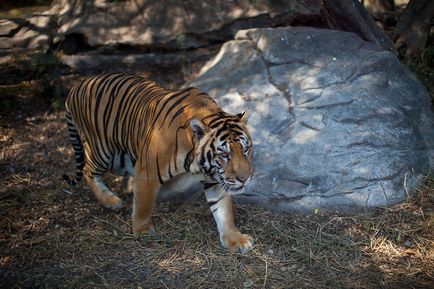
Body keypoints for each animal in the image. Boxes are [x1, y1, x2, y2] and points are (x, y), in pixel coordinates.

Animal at [62, 72, 256, 252]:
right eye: (224, 154)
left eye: (246, 149)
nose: (245, 179)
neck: (196, 163)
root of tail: (76, 86)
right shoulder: (147, 174)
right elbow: (143, 204)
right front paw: (142, 231)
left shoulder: (215, 179)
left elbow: (223, 211)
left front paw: (235, 239)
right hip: (104, 152)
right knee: (87, 170)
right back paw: (111, 200)